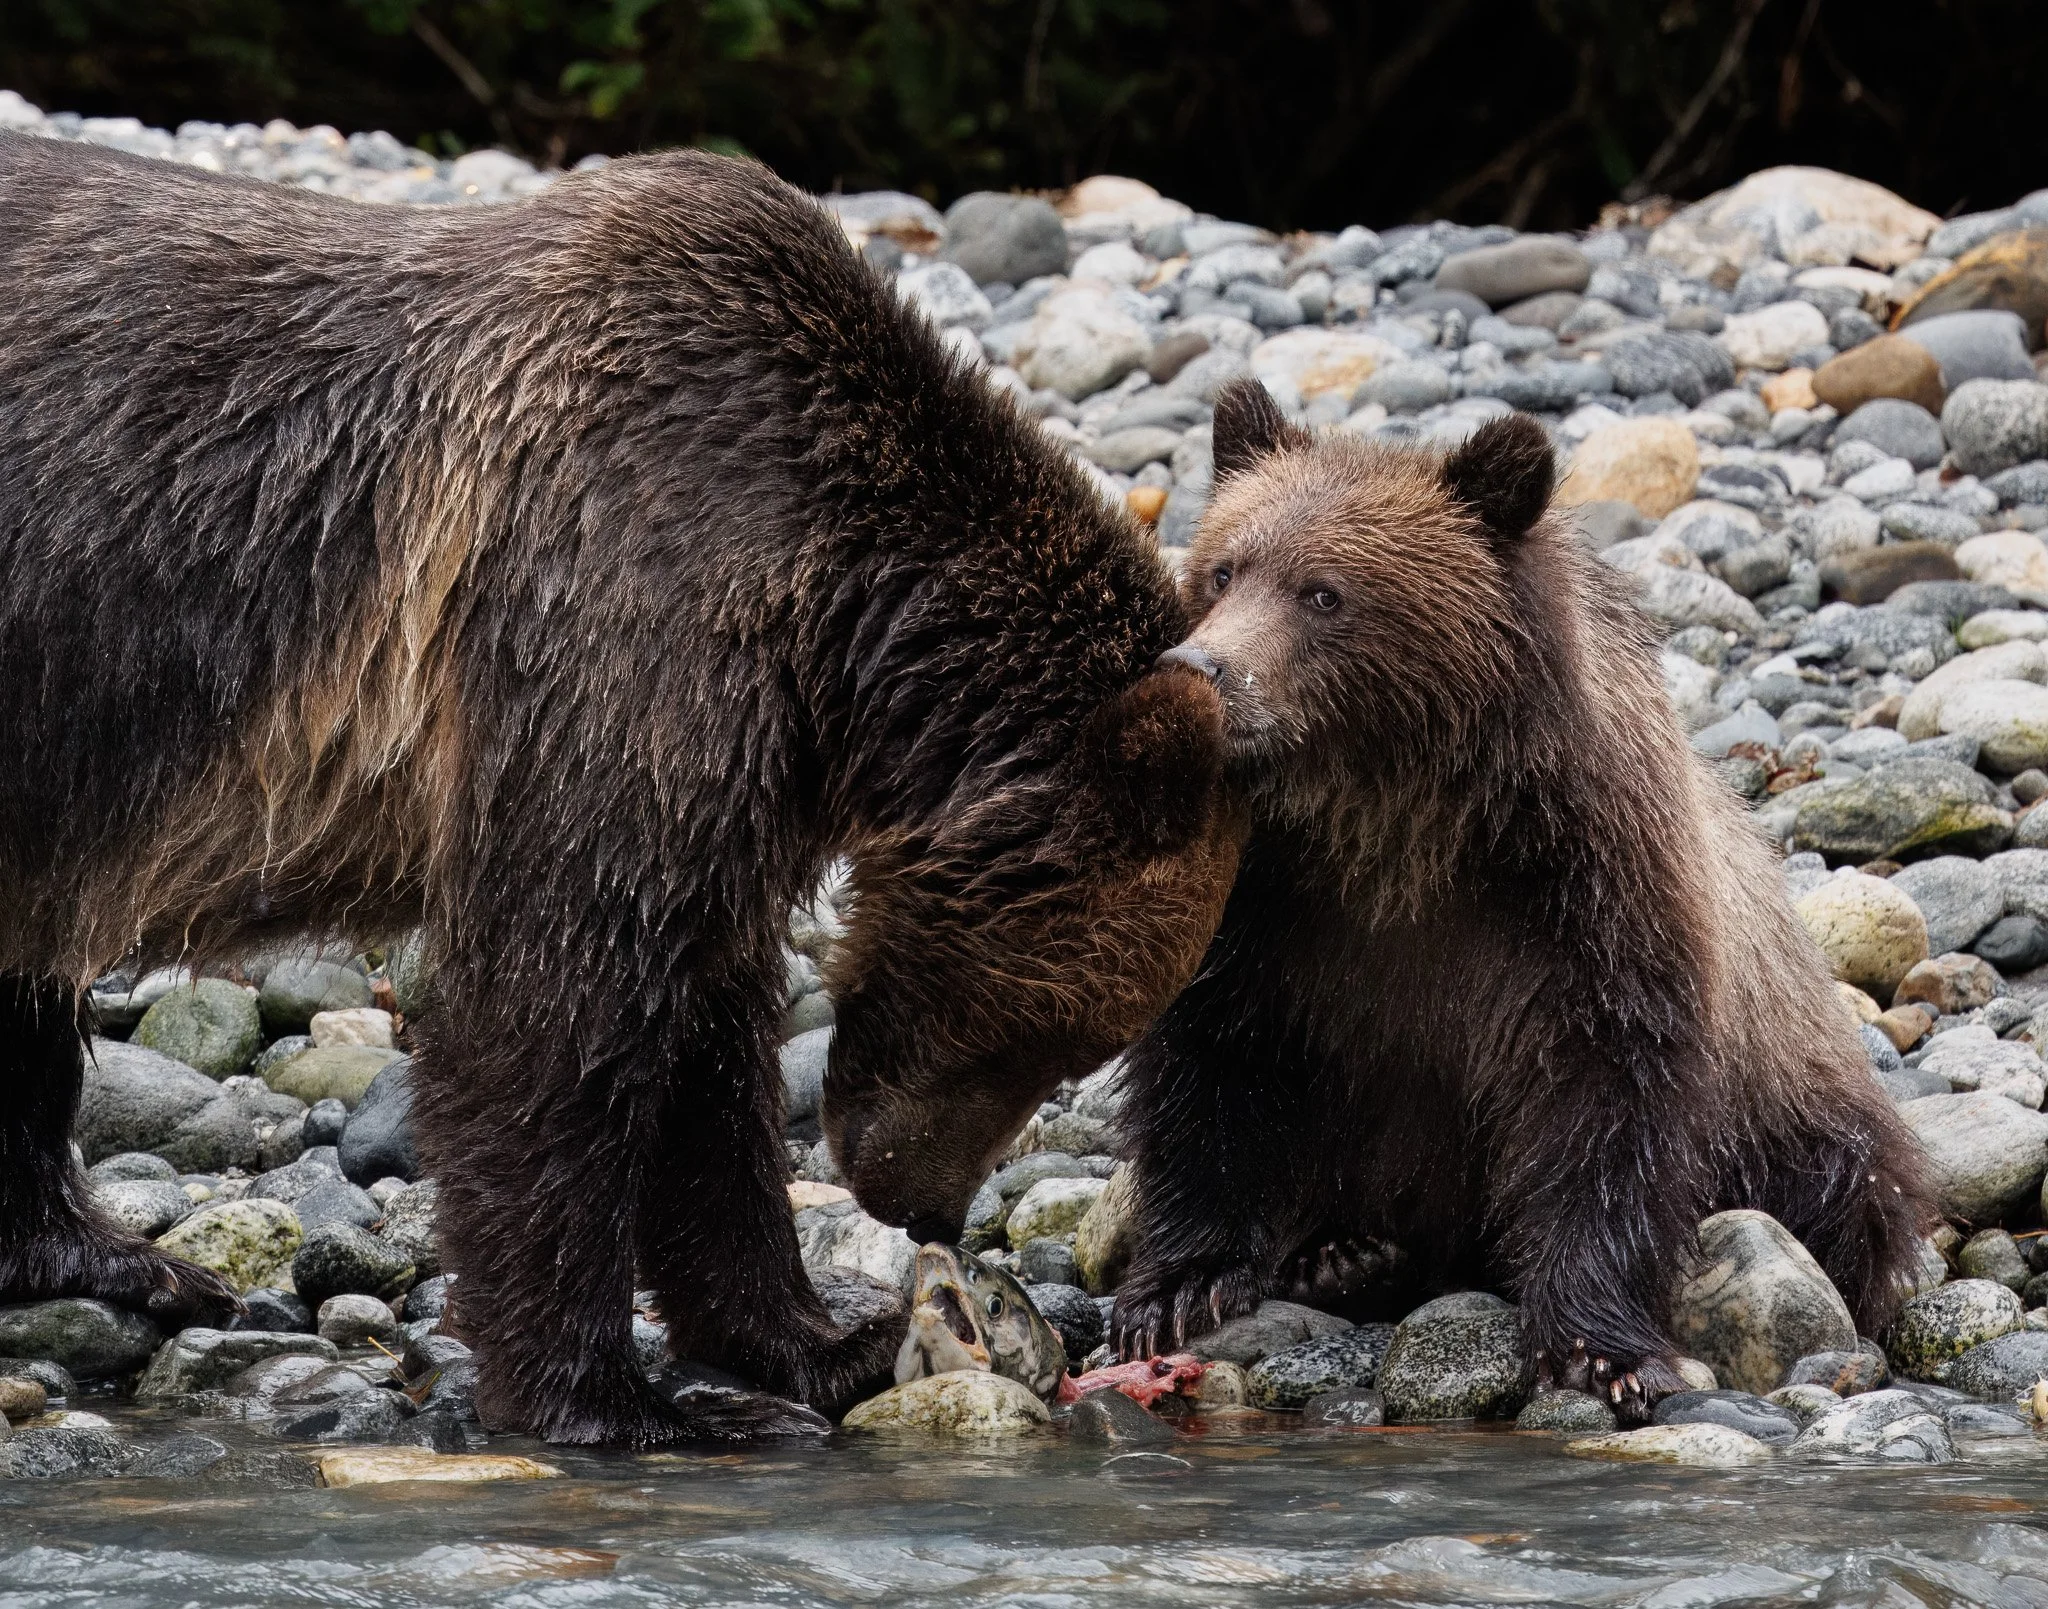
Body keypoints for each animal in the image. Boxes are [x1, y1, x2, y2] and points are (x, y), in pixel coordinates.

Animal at [0, 131, 1242, 1445]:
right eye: (1053, 1037)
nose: (924, 1209)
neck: (838, 624)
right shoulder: (605, 628)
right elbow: (554, 1021)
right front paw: (610, 1400)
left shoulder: (732, 774)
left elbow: (708, 1051)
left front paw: (815, 1342)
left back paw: (118, 1258)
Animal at [1108, 379, 1937, 1418]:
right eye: (1222, 571)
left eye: (1325, 592)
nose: (1201, 670)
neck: (1389, 821)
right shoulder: (1269, 904)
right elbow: (1212, 1065)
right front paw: (1177, 1289)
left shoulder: (1584, 899)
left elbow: (1608, 1101)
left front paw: (1599, 1349)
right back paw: (1345, 1252)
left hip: (1801, 1099)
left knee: (1844, 1189)